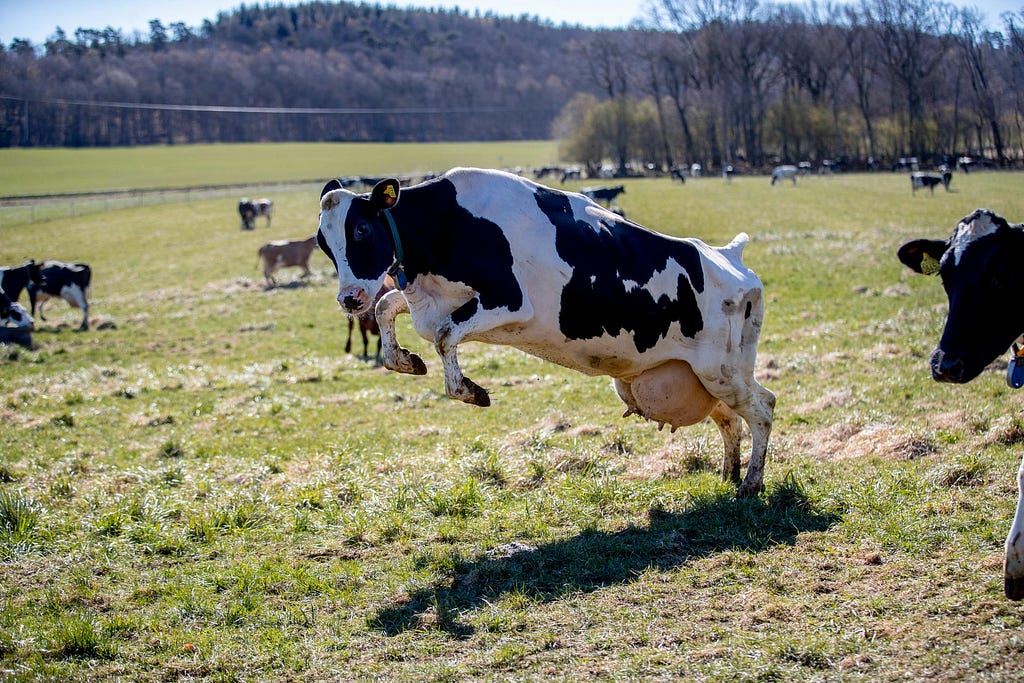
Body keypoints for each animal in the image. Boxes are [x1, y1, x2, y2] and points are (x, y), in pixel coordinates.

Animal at [319, 165, 774, 497]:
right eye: (324, 244)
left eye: (360, 230)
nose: (349, 299)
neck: (450, 225)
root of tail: (728, 256)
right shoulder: (428, 301)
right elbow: (386, 307)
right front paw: (404, 360)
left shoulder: (508, 301)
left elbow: (445, 336)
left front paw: (470, 391)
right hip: (702, 376)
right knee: (730, 419)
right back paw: (730, 474)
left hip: (723, 370)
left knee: (763, 409)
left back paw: (751, 484)